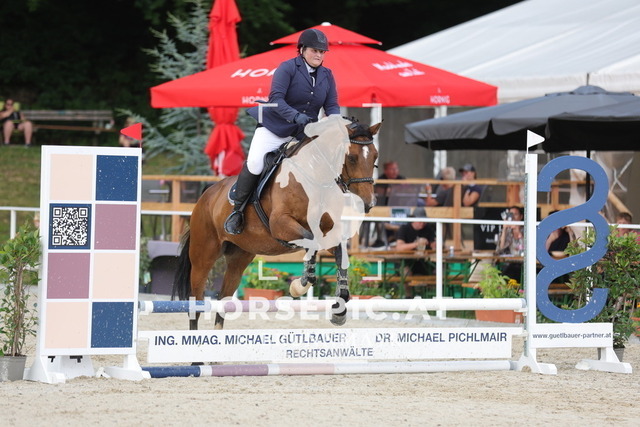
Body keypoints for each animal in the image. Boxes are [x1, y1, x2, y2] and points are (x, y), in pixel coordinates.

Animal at [173, 115, 381, 329]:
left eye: (375, 157)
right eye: (352, 157)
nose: (368, 203)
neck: (315, 176)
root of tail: (206, 195)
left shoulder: (327, 231)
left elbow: (338, 253)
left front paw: (339, 308)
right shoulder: (281, 224)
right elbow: (311, 240)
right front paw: (300, 285)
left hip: (239, 258)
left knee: (224, 299)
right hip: (203, 257)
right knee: (195, 304)